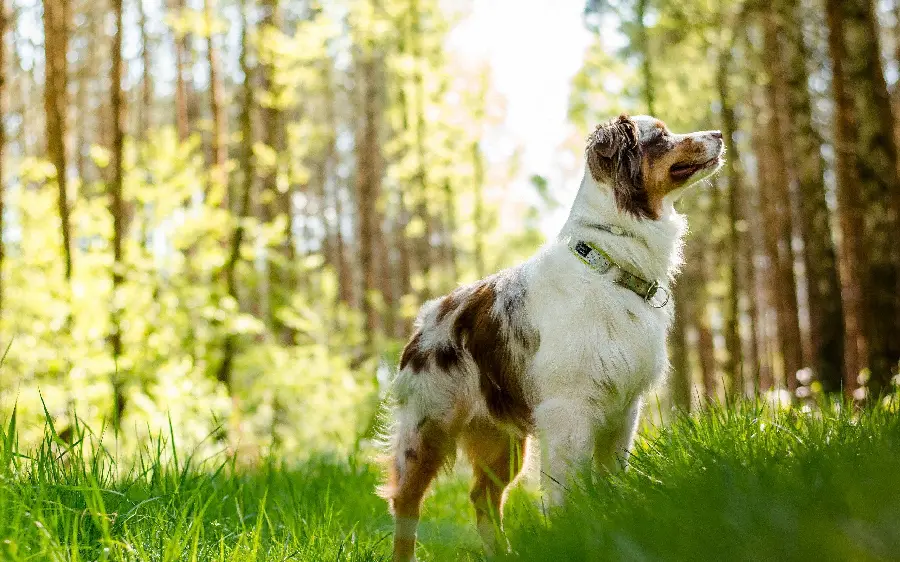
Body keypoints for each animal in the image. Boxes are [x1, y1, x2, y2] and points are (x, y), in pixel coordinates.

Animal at [378, 115, 724, 560]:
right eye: (661, 136)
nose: (719, 134)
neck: (609, 264)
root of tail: (428, 318)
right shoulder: (568, 411)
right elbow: (566, 492)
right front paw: (572, 536)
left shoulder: (624, 410)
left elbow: (610, 481)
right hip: (427, 429)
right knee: (406, 501)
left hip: (503, 441)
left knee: (482, 498)